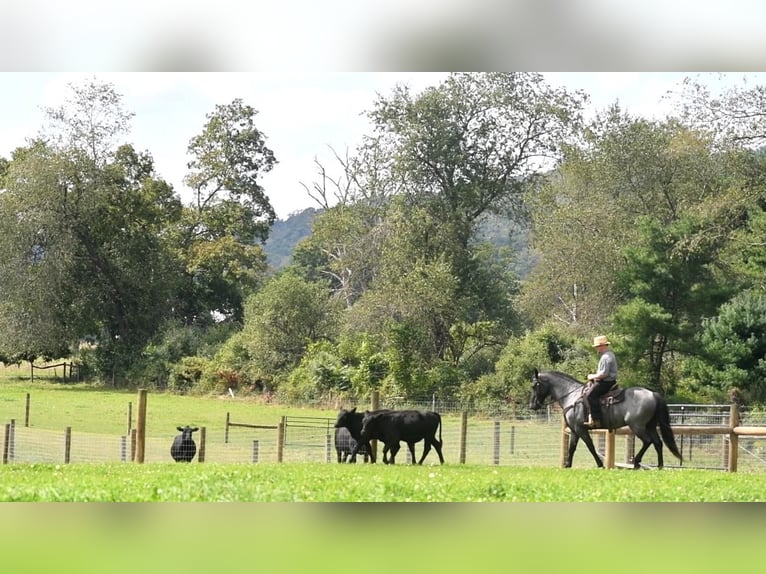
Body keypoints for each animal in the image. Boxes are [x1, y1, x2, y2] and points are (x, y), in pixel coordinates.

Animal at [528, 372, 684, 470]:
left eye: (535, 385)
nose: (532, 405)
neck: (572, 396)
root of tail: (653, 394)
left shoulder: (580, 429)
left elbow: (590, 446)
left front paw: (600, 464)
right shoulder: (574, 430)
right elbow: (572, 448)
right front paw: (567, 465)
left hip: (637, 426)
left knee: (648, 441)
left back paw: (636, 463)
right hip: (650, 426)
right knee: (658, 443)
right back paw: (660, 466)